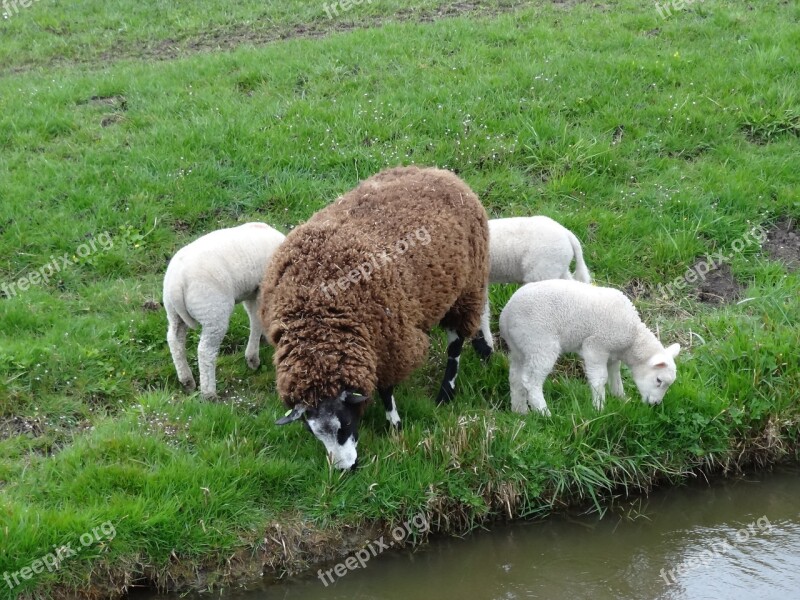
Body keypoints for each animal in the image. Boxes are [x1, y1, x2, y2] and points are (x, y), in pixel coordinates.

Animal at [164, 220, 286, 398]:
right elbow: (257, 318)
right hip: (213, 311)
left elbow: (255, 318)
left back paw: (187, 380)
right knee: (205, 351)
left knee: (175, 341)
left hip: (173, 312)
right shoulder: (261, 289)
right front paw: (253, 358)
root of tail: (176, 284)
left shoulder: (252, 292)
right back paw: (209, 393)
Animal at [260, 164, 490, 468]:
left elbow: (386, 390)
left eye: (345, 424)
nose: (346, 469)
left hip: (467, 289)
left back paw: (445, 394)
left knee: (455, 346)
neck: (317, 326)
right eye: (312, 432)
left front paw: (395, 425)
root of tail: (441, 173)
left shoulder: (391, 344)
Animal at [500, 280, 680, 412]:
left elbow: (615, 377)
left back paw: (520, 411)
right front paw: (599, 407)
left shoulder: (613, 355)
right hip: (540, 342)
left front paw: (621, 398)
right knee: (531, 381)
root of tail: (506, 315)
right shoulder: (595, 346)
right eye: (658, 380)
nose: (655, 404)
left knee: (515, 378)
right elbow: (600, 378)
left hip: (521, 347)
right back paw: (544, 413)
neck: (633, 338)